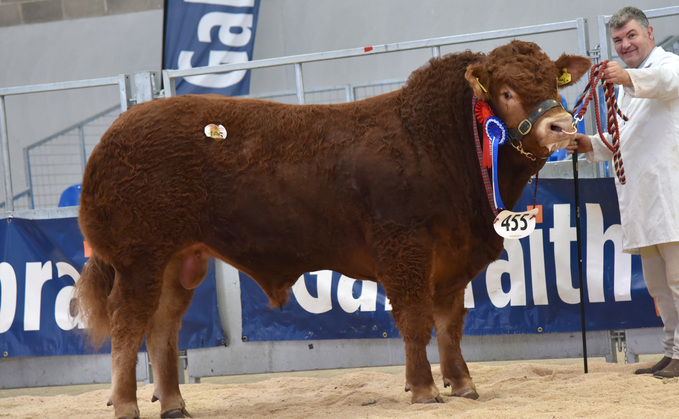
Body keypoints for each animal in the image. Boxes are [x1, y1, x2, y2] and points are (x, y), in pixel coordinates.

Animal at [74, 40, 588, 419]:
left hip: (179, 261)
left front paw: (462, 384)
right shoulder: (404, 248)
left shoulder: (453, 259)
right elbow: (415, 320)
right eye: (506, 92)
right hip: (139, 258)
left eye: (553, 82)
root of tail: (115, 132)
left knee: (163, 325)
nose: (562, 126)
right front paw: (424, 389)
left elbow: (450, 323)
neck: (436, 144)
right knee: (127, 326)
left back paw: (175, 404)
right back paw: (126, 405)